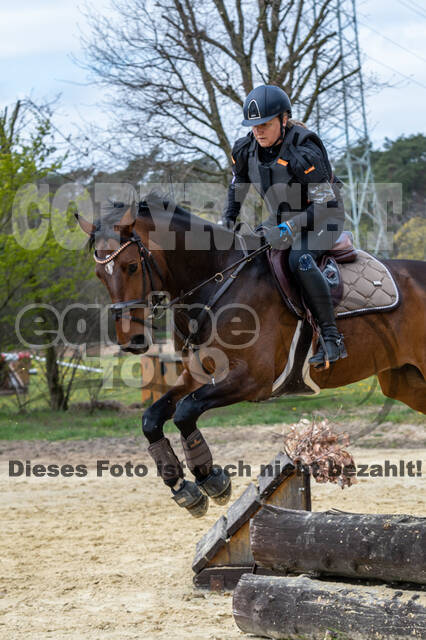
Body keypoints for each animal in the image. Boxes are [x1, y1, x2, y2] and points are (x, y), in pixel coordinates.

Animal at [76, 194, 426, 516]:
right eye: (98, 275)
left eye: (131, 266)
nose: (131, 341)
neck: (218, 284)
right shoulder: (198, 374)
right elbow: (152, 418)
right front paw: (183, 487)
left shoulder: (250, 380)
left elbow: (185, 411)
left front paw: (211, 480)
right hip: (406, 382)